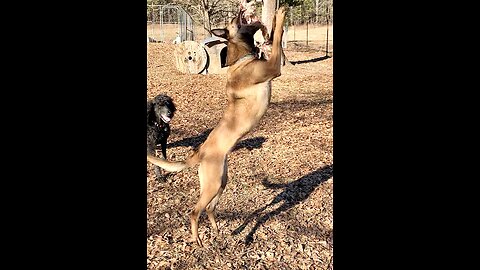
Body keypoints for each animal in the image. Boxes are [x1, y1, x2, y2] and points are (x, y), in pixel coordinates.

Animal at [147, 5, 284, 247]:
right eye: (235, 20)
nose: (240, 9)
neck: (243, 57)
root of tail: (199, 153)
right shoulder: (273, 67)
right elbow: (277, 39)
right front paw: (280, 15)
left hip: (221, 181)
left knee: (210, 209)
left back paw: (217, 230)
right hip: (212, 184)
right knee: (194, 211)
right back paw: (197, 239)